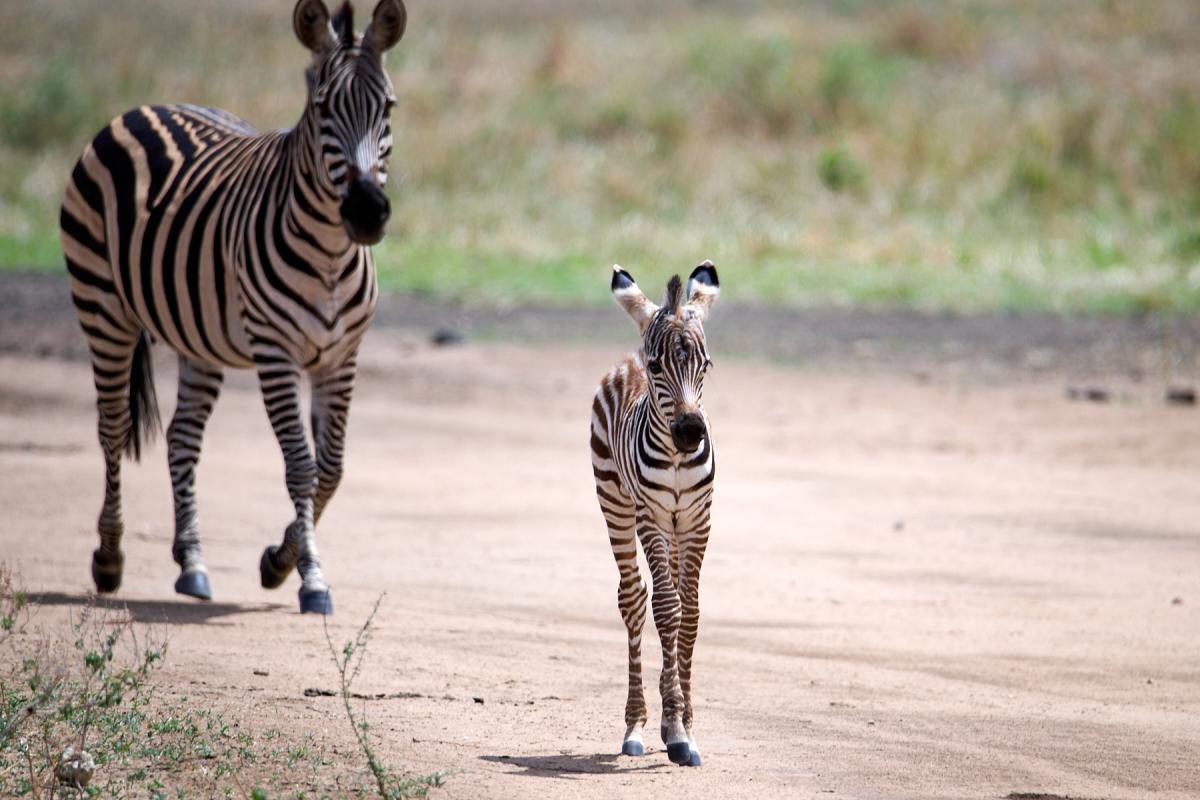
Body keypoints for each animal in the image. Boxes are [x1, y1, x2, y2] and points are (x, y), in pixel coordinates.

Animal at [58, 0, 407, 614]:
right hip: (101, 304)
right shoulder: (276, 352)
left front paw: (277, 562)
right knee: (113, 426)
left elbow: (331, 469)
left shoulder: (342, 355)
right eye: (322, 108)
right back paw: (110, 559)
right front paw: (311, 579)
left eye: (387, 106)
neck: (331, 254)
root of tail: (147, 106)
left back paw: (192, 563)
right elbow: (301, 468)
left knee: (182, 435)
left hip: (199, 335)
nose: (367, 212)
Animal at [590, 261, 720, 766]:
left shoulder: (699, 521)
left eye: (705, 365)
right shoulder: (652, 518)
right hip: (615, 501)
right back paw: (634, 727)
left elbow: (691, 613)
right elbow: (666, 608)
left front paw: (685, 723)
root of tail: (629, 354)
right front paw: (675, 729)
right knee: (632, 599)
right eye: (657, 366)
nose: (690, 432)